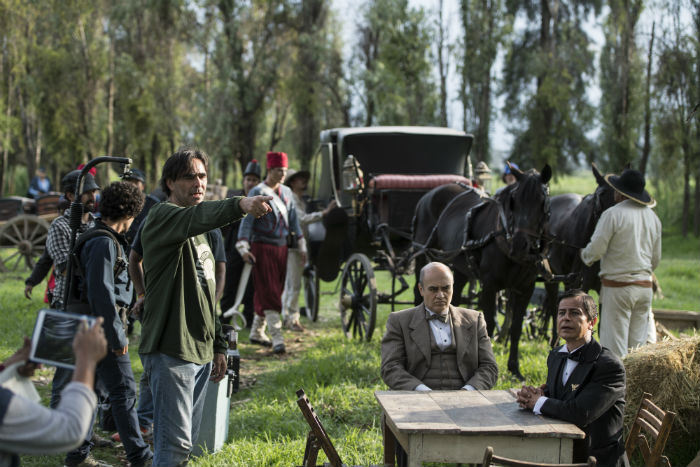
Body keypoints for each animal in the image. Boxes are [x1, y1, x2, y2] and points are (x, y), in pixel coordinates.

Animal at [412, 164, 552, 381]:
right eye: (514, 199)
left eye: (541, 200)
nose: (520, 244)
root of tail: (429, 194)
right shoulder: (490, 286)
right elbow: (490, 325)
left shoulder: (525, 289)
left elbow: (516, 328)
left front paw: (514, 369)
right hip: (424, 255)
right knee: (418, 292)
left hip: (459, 267)